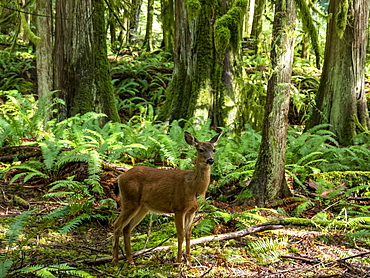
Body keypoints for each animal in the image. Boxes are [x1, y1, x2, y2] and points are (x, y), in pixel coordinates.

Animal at [111, 131, 221, 266]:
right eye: (200, 149)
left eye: (214, 149)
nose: (210, 160)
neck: (194, 187)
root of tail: (120, 177)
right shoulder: (178, 207)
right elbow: (180, 234)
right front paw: (178, 262)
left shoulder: (192, 211)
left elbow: (188, 235)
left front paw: (189, 262)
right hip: (130, 201)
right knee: (117, 225)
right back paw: (115, 261)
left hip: (142, 207)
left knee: (127, 228)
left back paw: (131, 261)